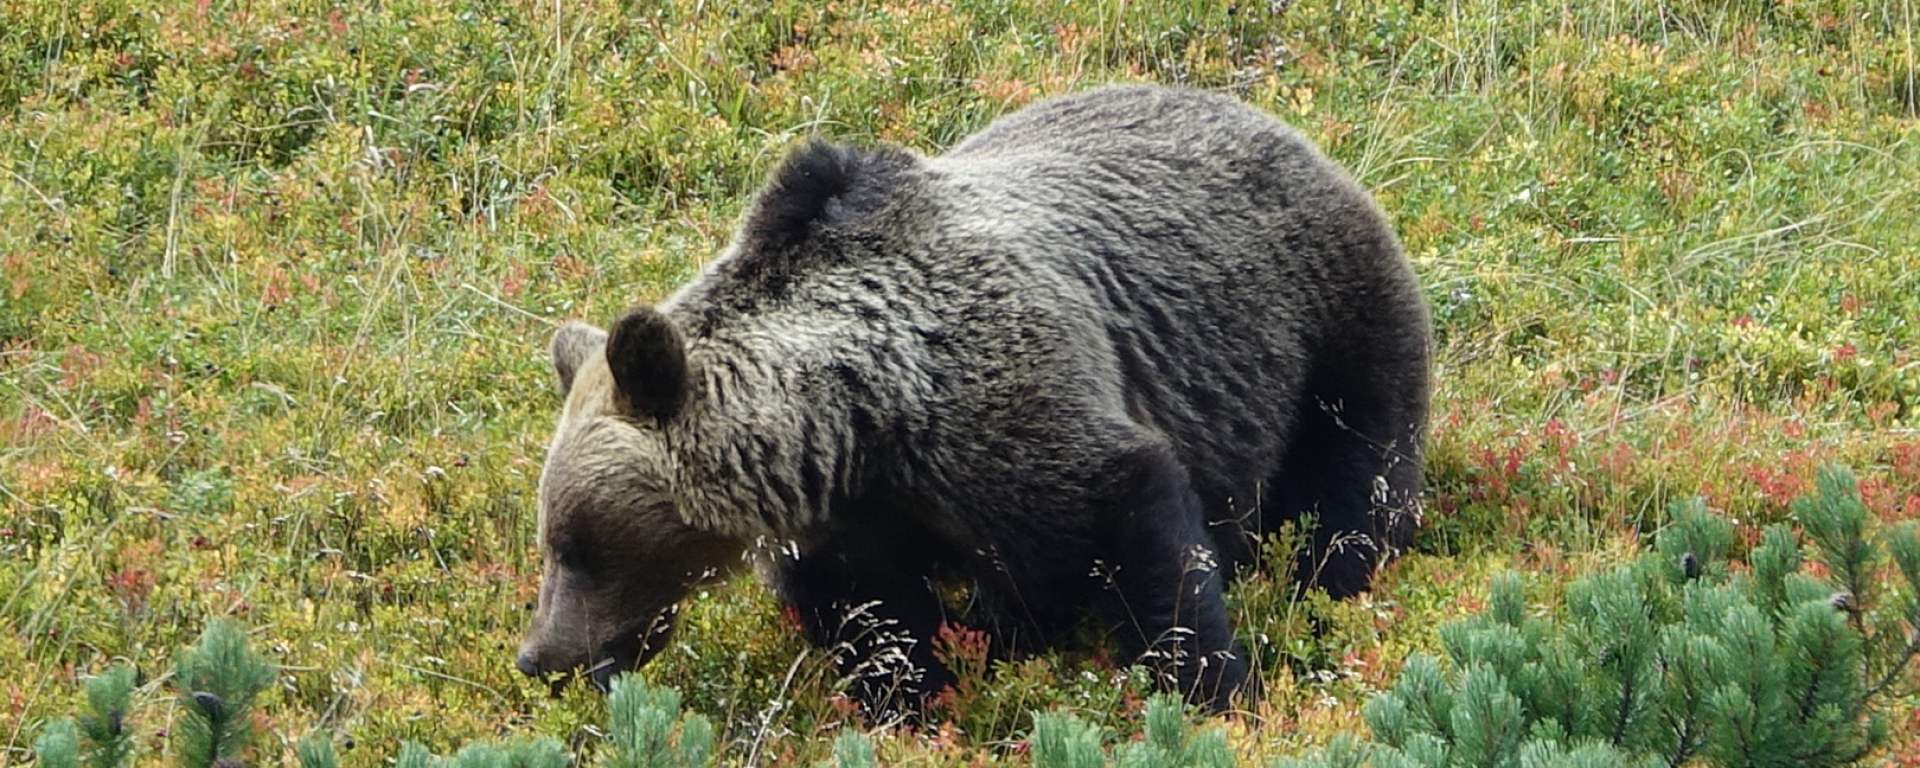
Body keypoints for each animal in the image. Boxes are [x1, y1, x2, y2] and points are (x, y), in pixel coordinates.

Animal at [518, 84, 1436, 714]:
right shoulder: (853, 519)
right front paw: (917, 699)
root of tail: (1287, 130)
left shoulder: (1008, 408)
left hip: (1326, 324)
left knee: (1352, 477)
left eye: (577, 544)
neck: (862, 419)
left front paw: (1209, 688)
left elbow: (1136, 528)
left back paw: (1332, 577)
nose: (543, 654)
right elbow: (880, 625)